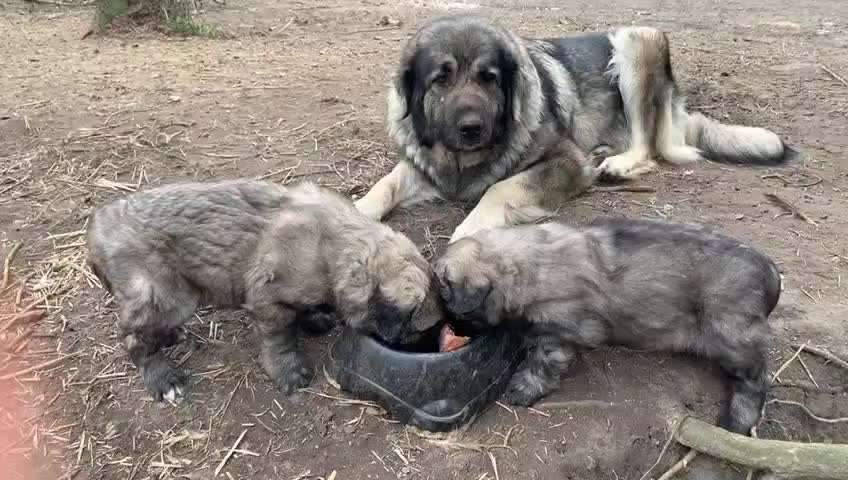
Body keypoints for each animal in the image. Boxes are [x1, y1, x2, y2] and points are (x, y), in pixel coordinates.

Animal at [86, 180, 444, 402]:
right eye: (421, 327)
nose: (424, 347)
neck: (332, 247)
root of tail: (97, 227)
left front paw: (316, 319)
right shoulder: (269, 300)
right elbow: (280, 340)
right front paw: (289, 372)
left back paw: (171, 337)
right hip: (164, 294)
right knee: (134, 338)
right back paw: (163, 381)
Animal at [356, 15, 796, 244]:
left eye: (489, 78)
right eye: (440, 80)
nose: (471, 128)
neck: (467, 160)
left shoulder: (565, 161)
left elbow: (501, 188)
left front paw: (469, 234)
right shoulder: (425, 164)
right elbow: (385, 185)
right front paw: (354, 213)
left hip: (638, 41)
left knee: (651, 147)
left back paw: (616, 163)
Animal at [438, 218, 780, 436]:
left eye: (446, 295)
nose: (451, 326)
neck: (528, 263)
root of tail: (771, 271)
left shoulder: (561, 330)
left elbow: (542, 361)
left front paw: (524, 387)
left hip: (729, 332)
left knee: (755, 376)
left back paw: (738, 419)